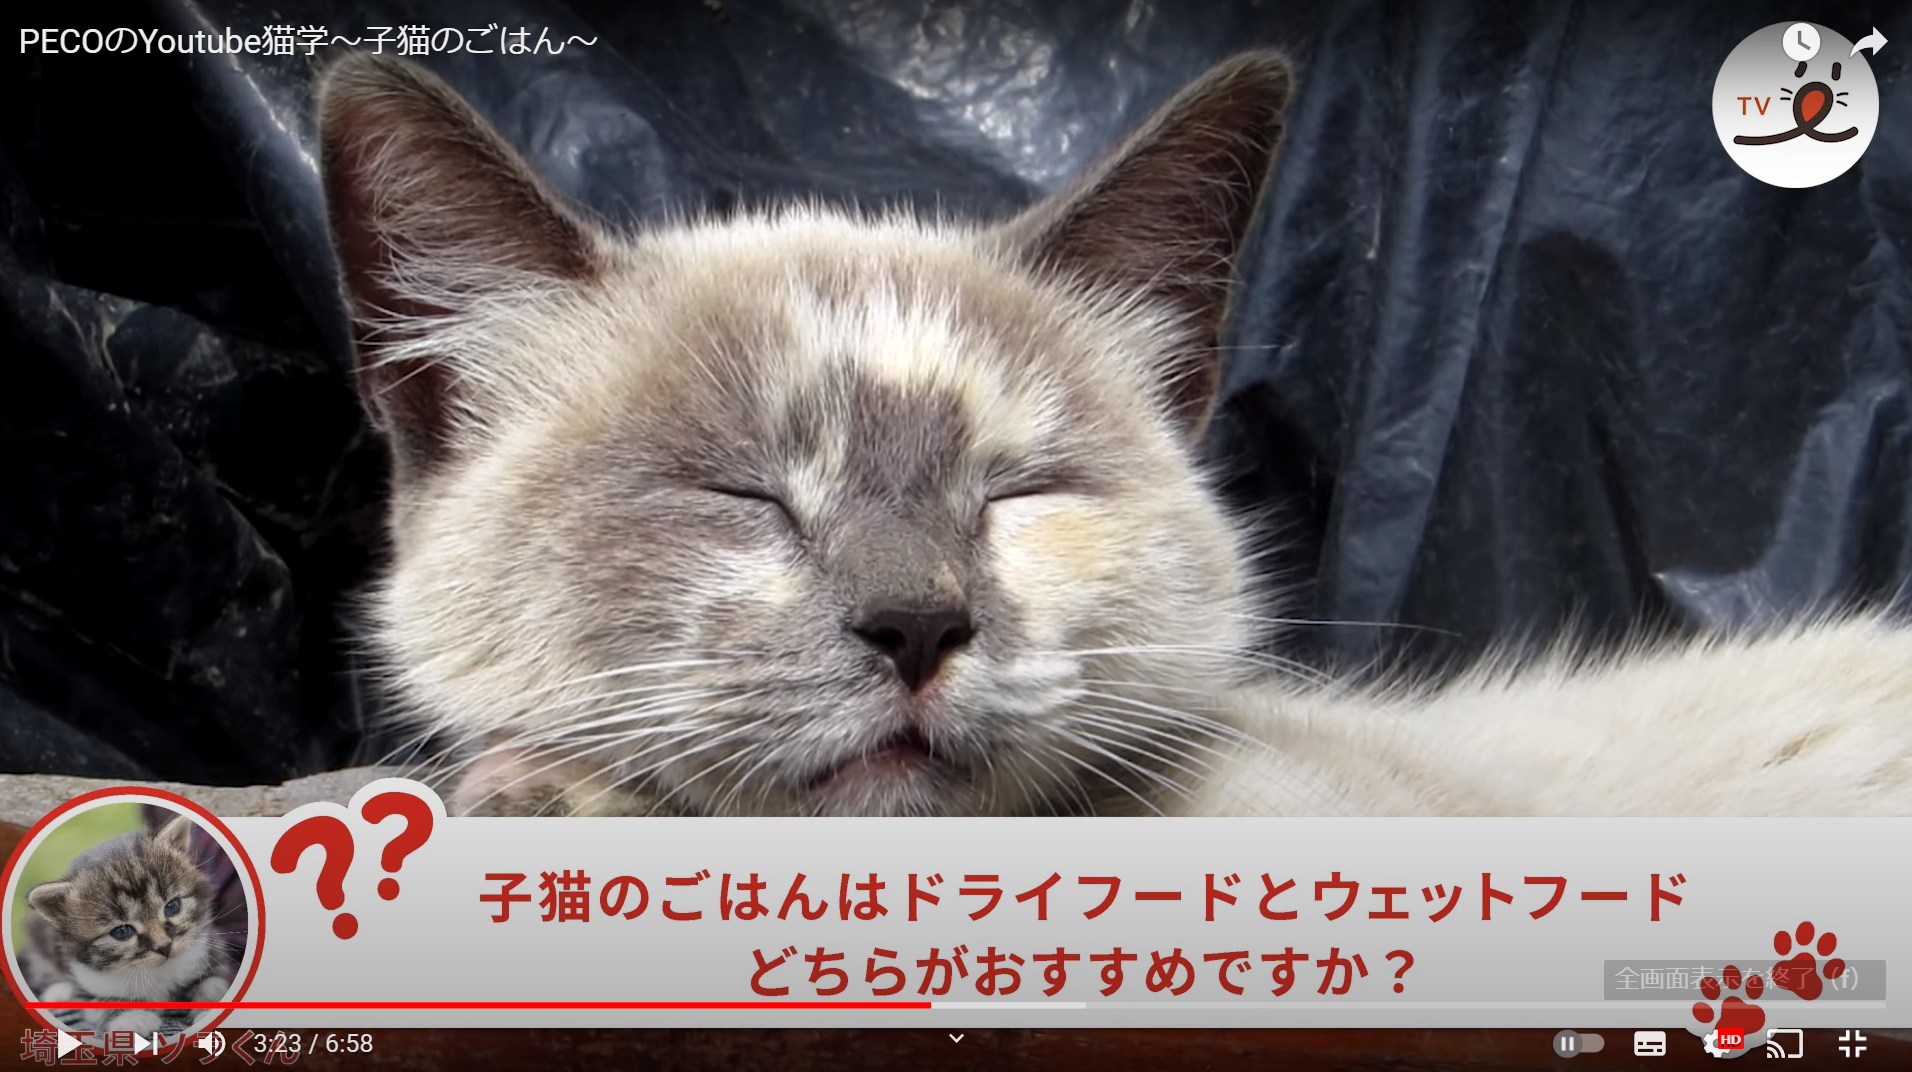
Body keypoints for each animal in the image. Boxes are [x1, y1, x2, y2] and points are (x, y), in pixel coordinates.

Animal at [18, 813, 235, 1037]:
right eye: (122, 931)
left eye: (172, 907)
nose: (165, 946)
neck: (156, 971)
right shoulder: (87, 977)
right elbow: (99, 1003)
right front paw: (131, 1019)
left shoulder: (208, 950)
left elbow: (213, 983)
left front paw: (209, 1007)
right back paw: (58, 991)